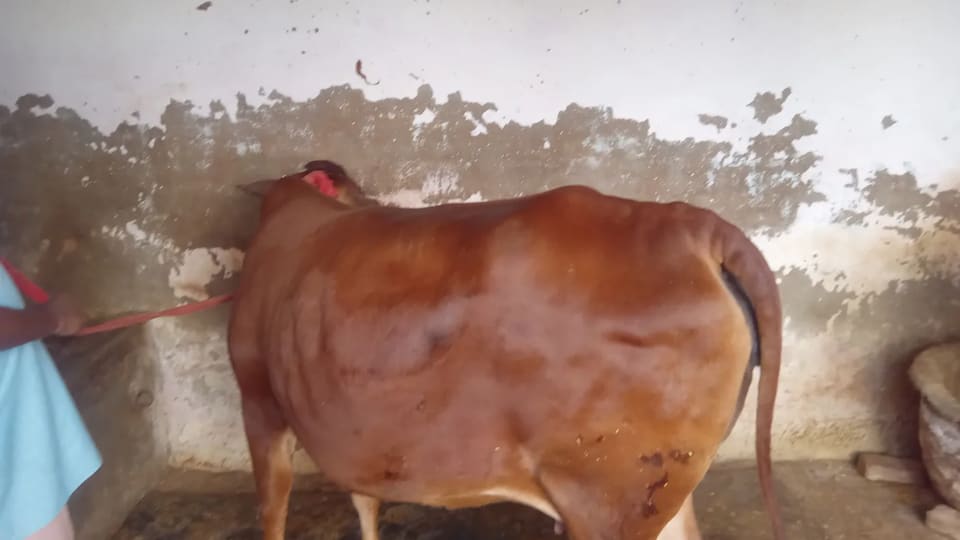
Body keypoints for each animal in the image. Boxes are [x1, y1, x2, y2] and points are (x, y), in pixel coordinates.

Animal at [228, 160, 785, 540]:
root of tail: (688, 225)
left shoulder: (257, 398)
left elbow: (272, 507)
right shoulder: (354, 440)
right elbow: (364, 501)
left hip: (613, 497)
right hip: (659, 489)